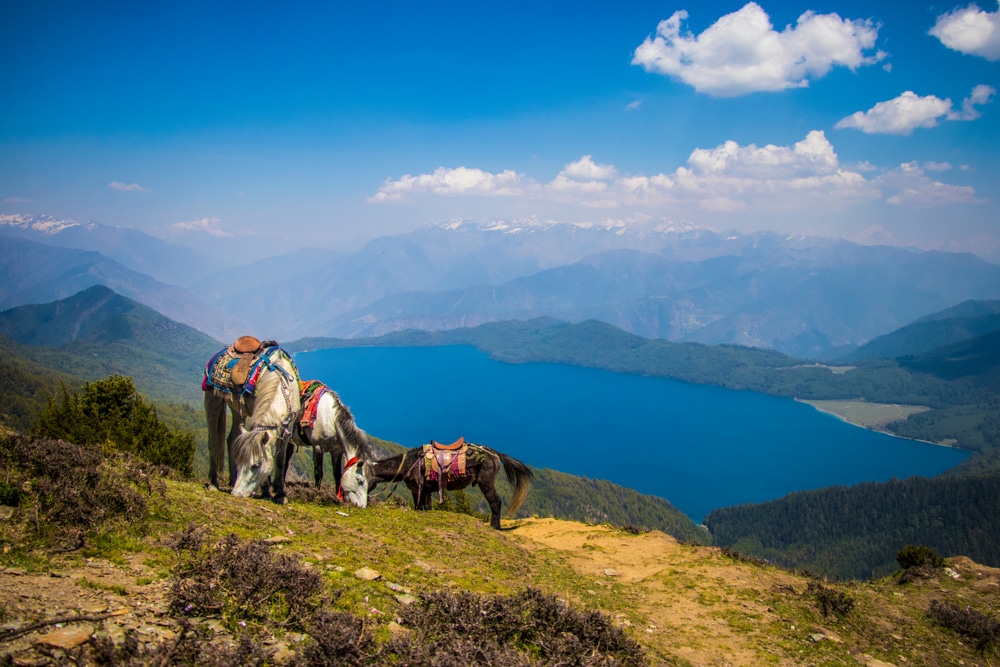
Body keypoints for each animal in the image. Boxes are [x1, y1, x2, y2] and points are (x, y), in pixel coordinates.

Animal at [201, 340, 298, 506]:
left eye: (256, 465)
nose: (236, 493)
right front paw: (266, 492)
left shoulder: (288, 426)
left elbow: (280, 459)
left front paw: (280, 494)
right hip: (214, 398)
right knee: (213, 440)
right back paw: (214, 483)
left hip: (235, 407)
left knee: (232, 438)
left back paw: (232, 480)